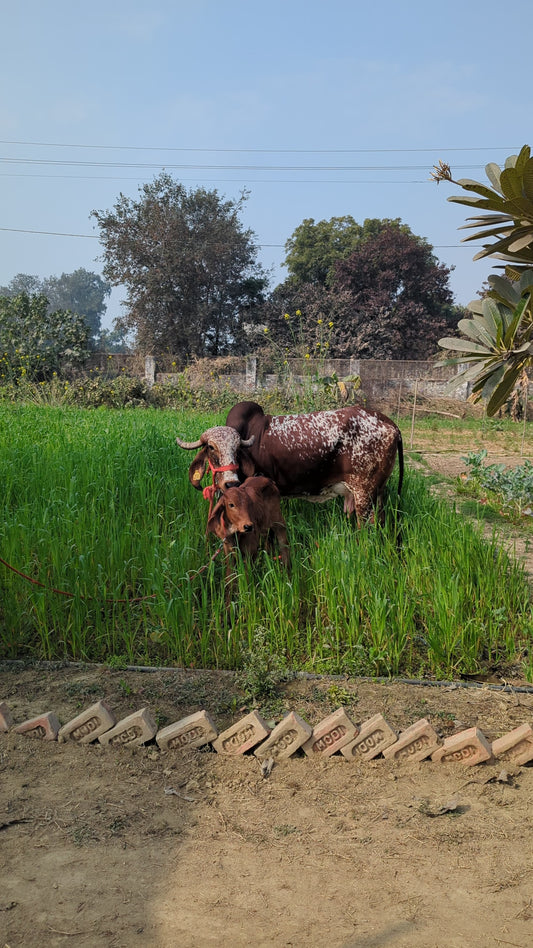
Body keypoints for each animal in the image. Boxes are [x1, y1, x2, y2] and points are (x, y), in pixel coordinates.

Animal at [176, 400, 403, 526]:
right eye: (211, 448)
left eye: (237, 450)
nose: (230, 483)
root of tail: (390, 424)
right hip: (377, 493)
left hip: (365, 493)